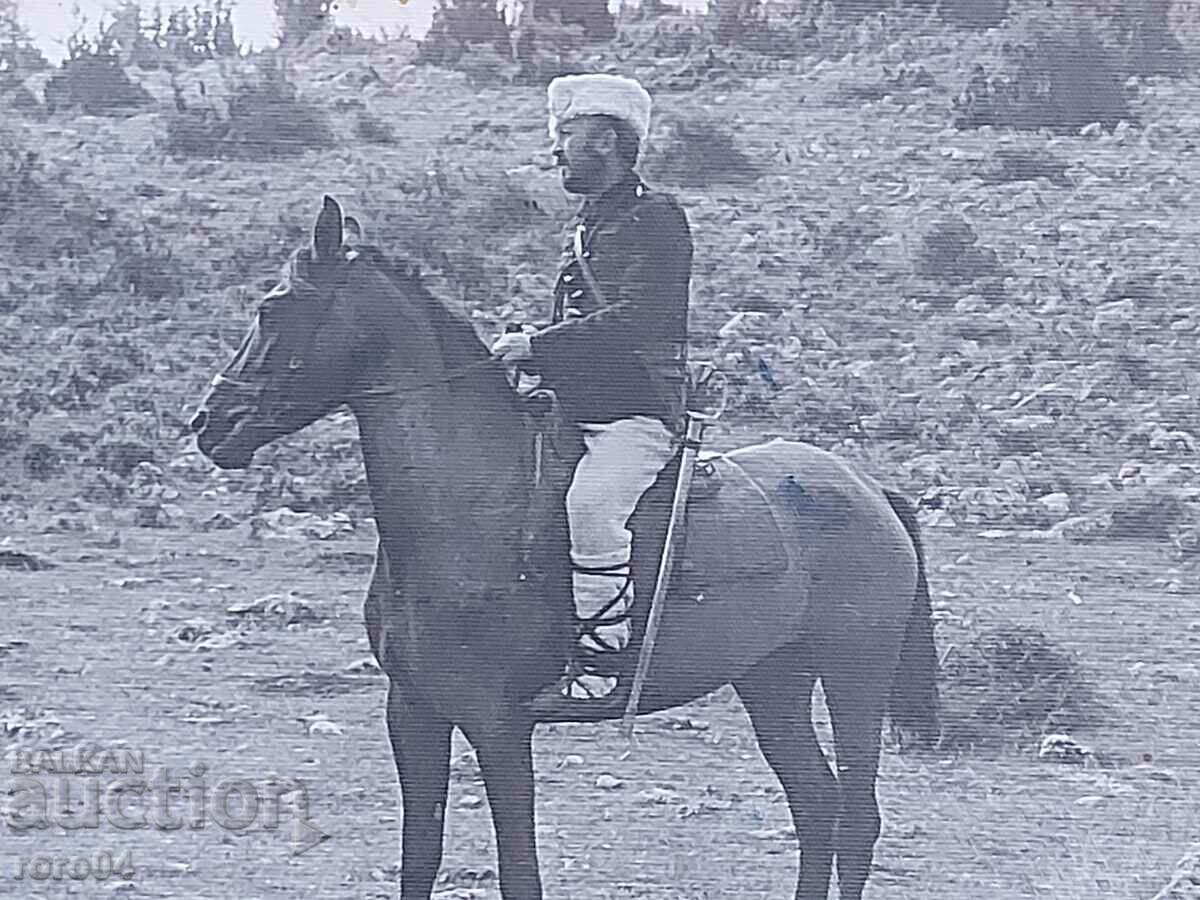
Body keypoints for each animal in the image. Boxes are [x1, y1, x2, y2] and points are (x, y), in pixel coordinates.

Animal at [190, 196, 939, 900]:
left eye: (274, 309)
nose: (208, 424)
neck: (467, 501)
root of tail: (868, 488)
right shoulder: (413, 712)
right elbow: (419, 860)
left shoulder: (497, 725)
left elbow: (519, 872)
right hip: (772, 681)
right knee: (816, 806)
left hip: (853, 678)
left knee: (855, 818)